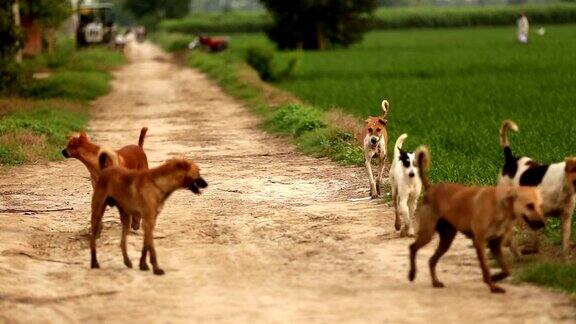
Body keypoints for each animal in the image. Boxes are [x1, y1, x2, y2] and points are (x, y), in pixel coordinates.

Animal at [408, 146, 548, 294]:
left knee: (431, 260)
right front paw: (492, 285)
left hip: (447, 238)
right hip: (428, 233)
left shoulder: (495, 245)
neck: (499, 208)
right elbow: (485, 267)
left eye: (539, 205)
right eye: (529, 205)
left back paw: (435, 282)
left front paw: (495, 277)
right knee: (413, 248)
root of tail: (430, 189)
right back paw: (412, 274)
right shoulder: (479, 241)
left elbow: (506, 270)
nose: (542, 223)